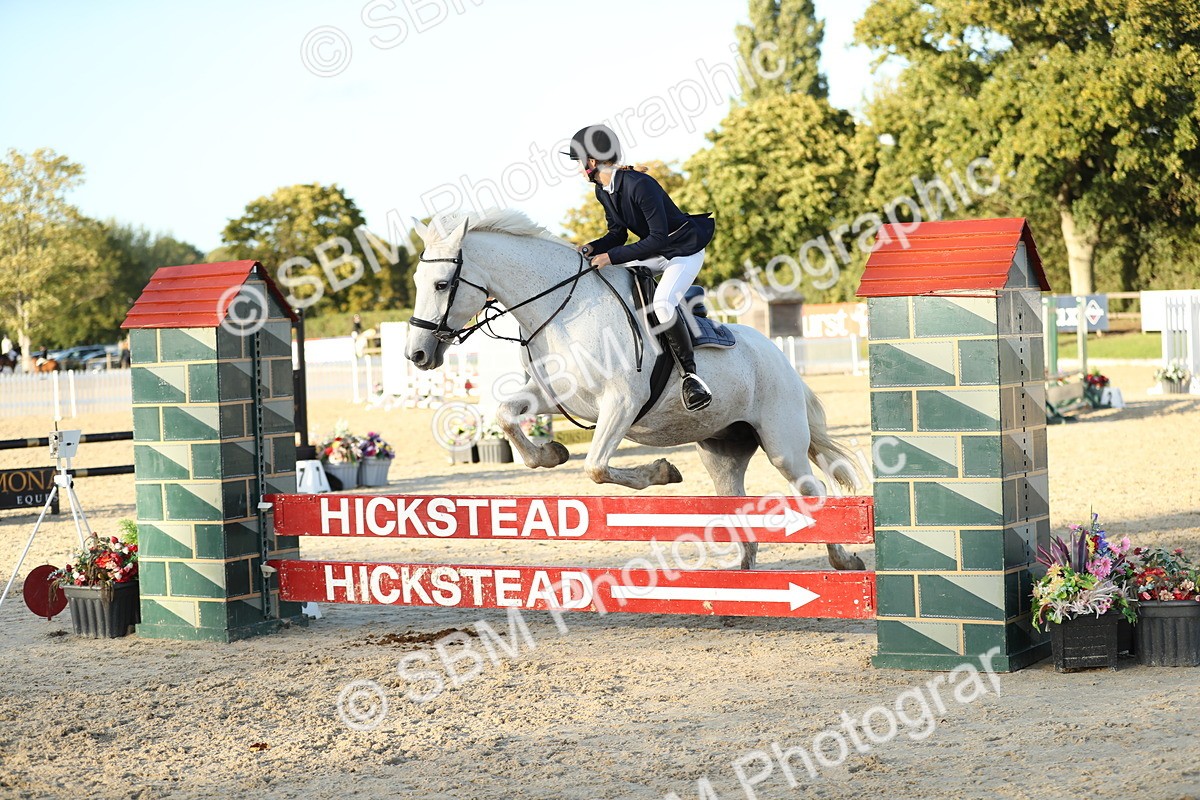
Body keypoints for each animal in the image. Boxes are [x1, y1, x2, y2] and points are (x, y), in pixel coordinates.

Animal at [405, 209, 865, 571]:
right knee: (737, 501)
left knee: (812, 490)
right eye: (417, 280)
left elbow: (596, 467)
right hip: (722, 449)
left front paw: (662, 471)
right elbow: (506, 416)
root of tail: (777, 355)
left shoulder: (621, 403)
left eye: (442, 284)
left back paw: (843, 558)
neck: (564, 311)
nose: (417, 354)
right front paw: (550, 453)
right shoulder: (554, 395)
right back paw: (742, 577)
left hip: (782, 443)